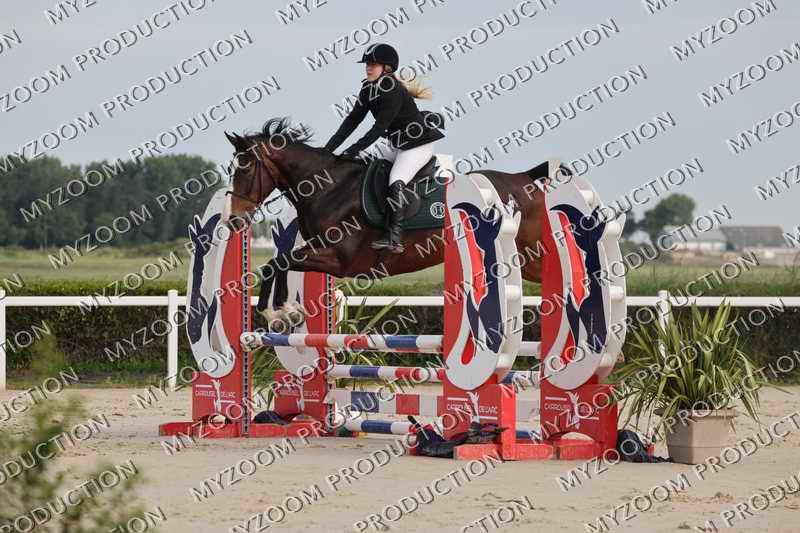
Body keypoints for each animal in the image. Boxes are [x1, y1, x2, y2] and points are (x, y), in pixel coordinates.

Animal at [225, 118, 558, 322]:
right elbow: (277, 262)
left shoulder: (339, 260)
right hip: (524, 261)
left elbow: (279, 262)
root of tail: (523, 178)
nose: (234, 221)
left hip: (530, 254)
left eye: (245, 168)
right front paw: (283, 312)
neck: (328, 188)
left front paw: (280, 311)